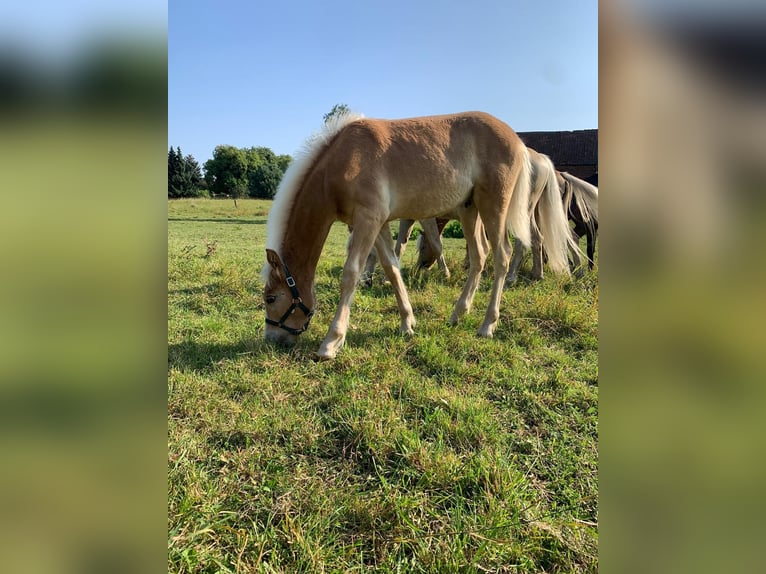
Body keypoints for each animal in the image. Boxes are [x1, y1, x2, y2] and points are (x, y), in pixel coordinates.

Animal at [262, 112, 576, 360]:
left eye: (270, 298)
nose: (272, 340)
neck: (344, 160)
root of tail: (519, 142)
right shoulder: (378, 224)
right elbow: (391, 268)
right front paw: (407, 323)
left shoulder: (367, 219)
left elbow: (351, 274)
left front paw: (331, 342)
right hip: (470, 211)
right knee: (479, 256)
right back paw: (458, 313)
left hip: (493, 208)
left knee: (502, 256)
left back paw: (487, 325)